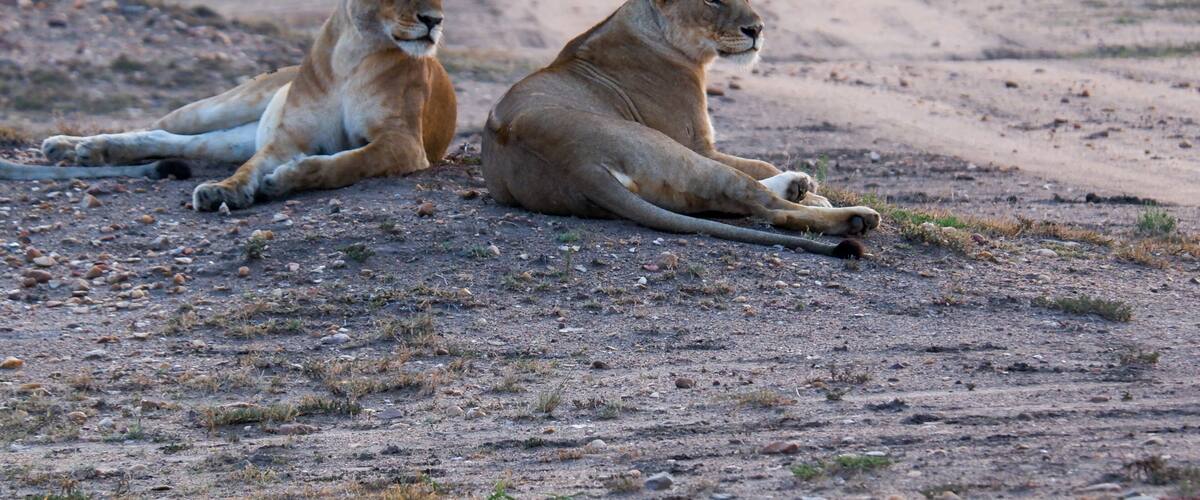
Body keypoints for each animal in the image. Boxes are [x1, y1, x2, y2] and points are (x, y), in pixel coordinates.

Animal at [3, 0, 456, 212]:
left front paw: (286, 179)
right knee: (163, 126)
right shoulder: (287, 137)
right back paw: (72, 146)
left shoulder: (403, 142)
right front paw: (225, 191)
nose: (434, 20)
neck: (354, 50)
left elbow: (347, 161)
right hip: (221, 108)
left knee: (175, 141)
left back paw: (85, 150)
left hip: (230, 137)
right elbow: (250, 169)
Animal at [482, 0, 881, 258]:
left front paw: (806, 188)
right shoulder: (697, 143)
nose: (757, 29)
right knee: (765, 207)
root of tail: (576, 165)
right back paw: (854, 218)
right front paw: (816, 196)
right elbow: (759, 166)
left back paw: (797, 187)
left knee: (730, 201)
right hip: (672, 151)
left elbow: (759, 165)